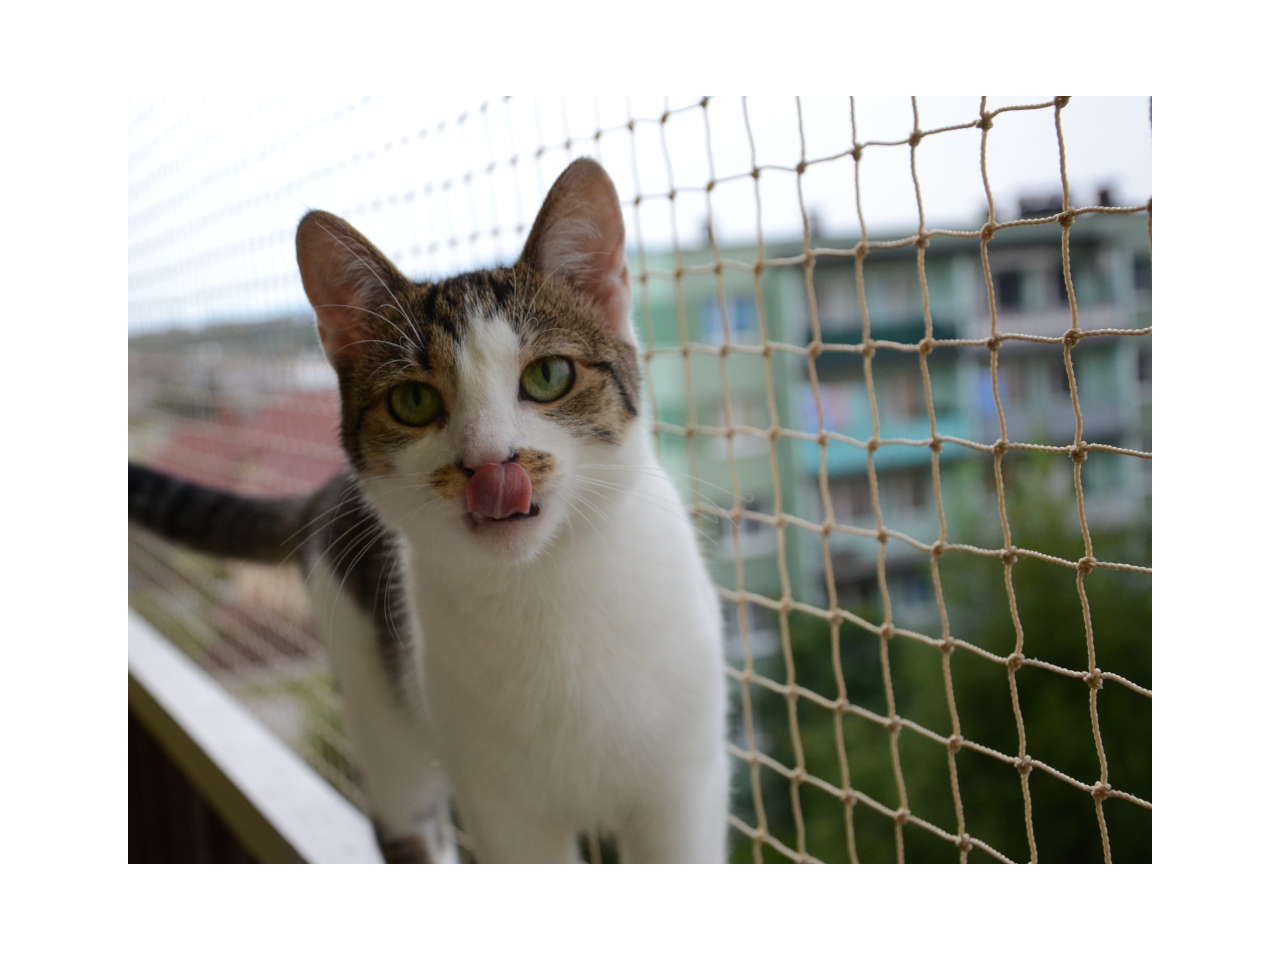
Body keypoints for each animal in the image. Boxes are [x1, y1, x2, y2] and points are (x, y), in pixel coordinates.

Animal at [132, 158, 732, 865]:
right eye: (414, 402)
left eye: (550, 376)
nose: (490, 465)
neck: (544, 590)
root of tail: (327, 493)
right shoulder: (500, 808)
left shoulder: (683, 786)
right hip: (378, 705)